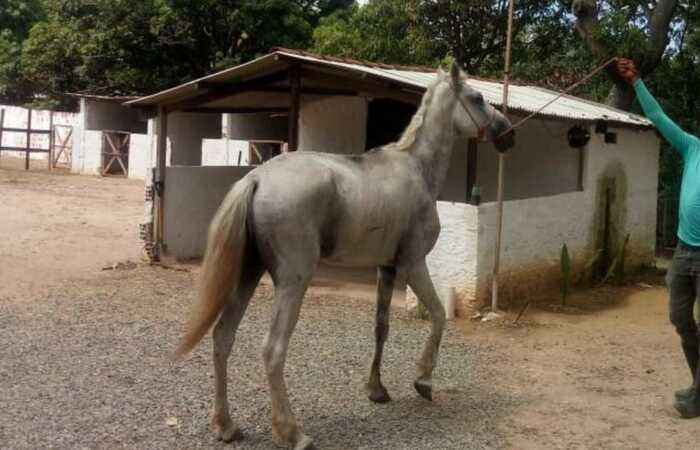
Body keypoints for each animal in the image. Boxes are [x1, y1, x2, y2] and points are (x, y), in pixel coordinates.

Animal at [175, 63, 516, 450]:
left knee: (222, 338)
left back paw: (226, 426)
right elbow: (440, 315)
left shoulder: (387, 268)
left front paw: (377, 390)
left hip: (247, 275)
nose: (508, 134)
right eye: (477, 98)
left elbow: (381, 328)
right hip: (293, 283)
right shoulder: (413, 264)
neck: (415, 168)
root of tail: (257, 178)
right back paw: (292, 432)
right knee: (272, 349)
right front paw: (423, 380)